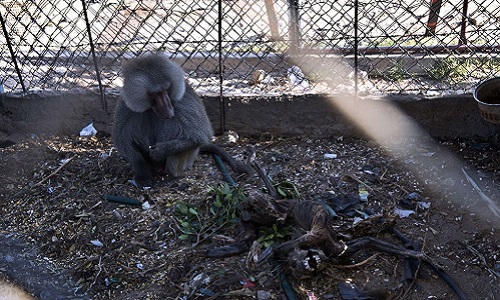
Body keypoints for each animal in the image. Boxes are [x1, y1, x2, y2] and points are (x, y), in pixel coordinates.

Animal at [114, 51, 254, 188]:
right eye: (154, 93)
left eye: (166, 89)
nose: (168, 109)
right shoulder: (125, 109)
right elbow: (126, 144)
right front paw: (142, 177)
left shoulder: (185, 102)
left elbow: (199, 137)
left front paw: (160, 150)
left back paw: (173, 177)